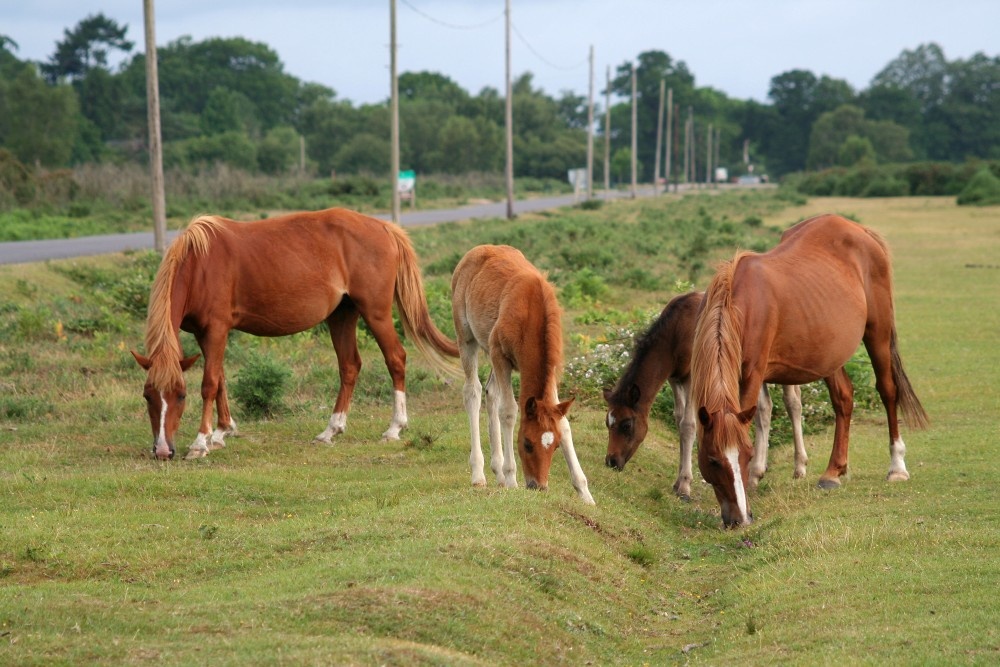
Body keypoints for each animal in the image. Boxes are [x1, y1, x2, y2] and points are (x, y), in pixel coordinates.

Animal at [131, 209, 458, 460]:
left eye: (181, 395)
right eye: (148, 396)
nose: (163, 451)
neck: (200, 264)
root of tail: (384, 227)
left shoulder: (216, 329)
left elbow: (210, 383)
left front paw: (201, 443)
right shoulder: (204, 333)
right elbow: (221, 380)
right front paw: (223, 431)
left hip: (375, 313)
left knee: (396, 359)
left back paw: (394, 428)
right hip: (342, 314)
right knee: (350, 366)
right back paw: (330, 430)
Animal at [452, 243, 592, 504]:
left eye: (555, 446)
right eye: (527, 444)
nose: (538, 486)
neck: (532, 310)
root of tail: (476, 251)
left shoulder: (551, 369)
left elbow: (564, 423)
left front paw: (585, 494)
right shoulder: (500, 354)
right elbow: (508, 411)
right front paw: (511, 479)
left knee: (491, 393)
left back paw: (496, 471)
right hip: (466, 338)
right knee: (473, 392)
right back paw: (479, 474)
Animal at [600, 290, 804, 498]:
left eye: (626, 425)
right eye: (608, 423)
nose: (611, 461)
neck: (676, 330)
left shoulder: (693, 378)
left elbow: (689, 425)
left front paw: (684, 485)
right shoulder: (675, 378)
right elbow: (679, 420)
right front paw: (678, 481)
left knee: (792, 402)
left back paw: (799, 468)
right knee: (764, 408)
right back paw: (759, 470)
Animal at [688, 214, 928, 528]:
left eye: (745, 454)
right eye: (713, 460)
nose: (740, 519)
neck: (741, 303)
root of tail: (859, 230)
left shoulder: (753, 371)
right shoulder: (752, 371)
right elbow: (762, 412)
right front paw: (758, 474)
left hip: (878, 332)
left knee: (887, 390)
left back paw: (897, 466)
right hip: (829, 351)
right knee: (843, 398)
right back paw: (834, 471)